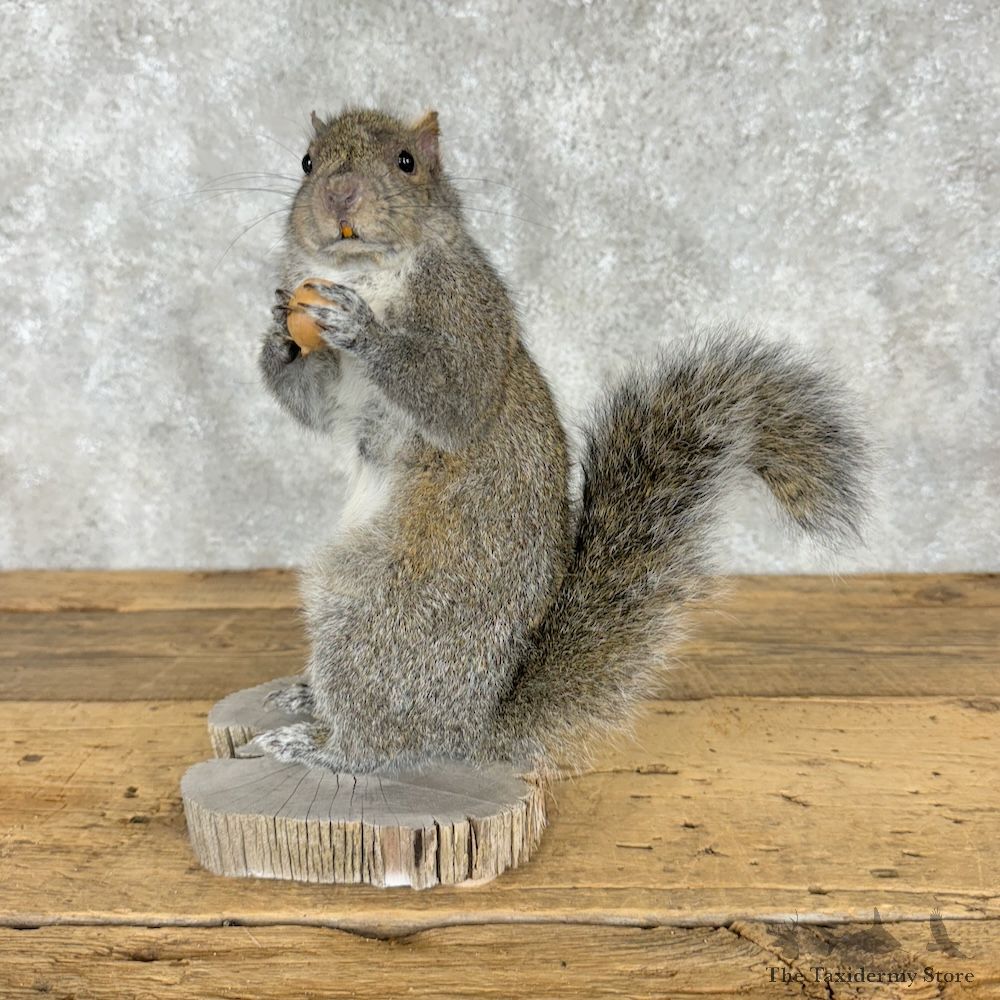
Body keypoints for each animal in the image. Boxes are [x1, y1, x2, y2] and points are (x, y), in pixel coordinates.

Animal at [240, 107, 868, 774]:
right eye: (307, 162)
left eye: (407, 162)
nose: (340, 194)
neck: (364, 271)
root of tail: (471, 728)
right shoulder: (337, 389)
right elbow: (315, 407)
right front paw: (280, 330)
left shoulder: (469, 312)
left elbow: (453, 398)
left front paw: (359, 325)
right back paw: (303, 697)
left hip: (377, 616)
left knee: (379, 742)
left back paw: (317, 745)